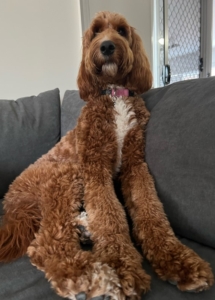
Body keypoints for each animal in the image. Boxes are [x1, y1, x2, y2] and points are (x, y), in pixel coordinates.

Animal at [0, 10, 213, 298]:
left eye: (121, 31)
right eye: (96, 32)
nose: (107, 46)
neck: (114, 94)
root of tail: (12, 203)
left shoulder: (134, 165)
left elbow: (151, 210)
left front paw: (178, 261)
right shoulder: (95, 166)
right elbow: (110, 215)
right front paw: (122, 270)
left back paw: (84, 230)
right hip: (65, 174)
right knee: (45, 243)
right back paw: (88, 277)